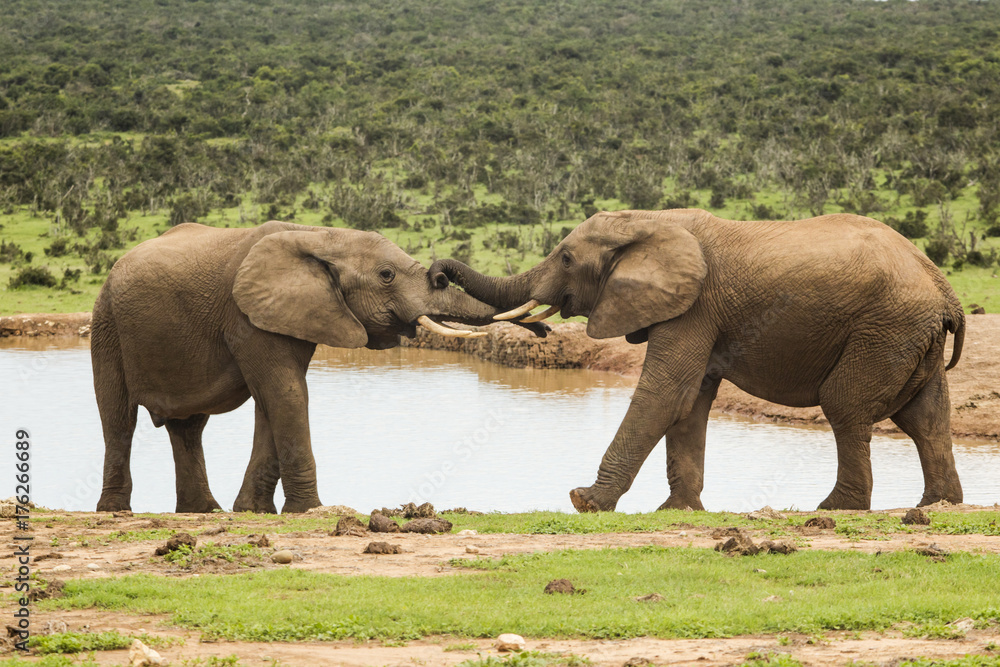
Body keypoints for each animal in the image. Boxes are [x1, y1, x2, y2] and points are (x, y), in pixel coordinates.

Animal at [92, 220, 544, 514]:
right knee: (119, 419)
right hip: (107, 322)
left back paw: (203, 512)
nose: (542, 330)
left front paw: (254, 512)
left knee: (187, 427)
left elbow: (274, 401)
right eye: (386, 275)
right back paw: (115, 511)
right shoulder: (246, 316)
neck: (320, 236)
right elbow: (287, 393)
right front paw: (309, 510)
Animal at [429, 208, 966, 512]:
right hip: (908, 335)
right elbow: (690, 401)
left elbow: (667, 391)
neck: (648, 221)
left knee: (846, 406)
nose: (436, 274)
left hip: (884, 329)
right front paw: (677, 510)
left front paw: (585, 501)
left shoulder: (695, 304)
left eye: (564, 258)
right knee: (926, 418)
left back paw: (836, 508)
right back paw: (938, 504)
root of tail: (946, 293)